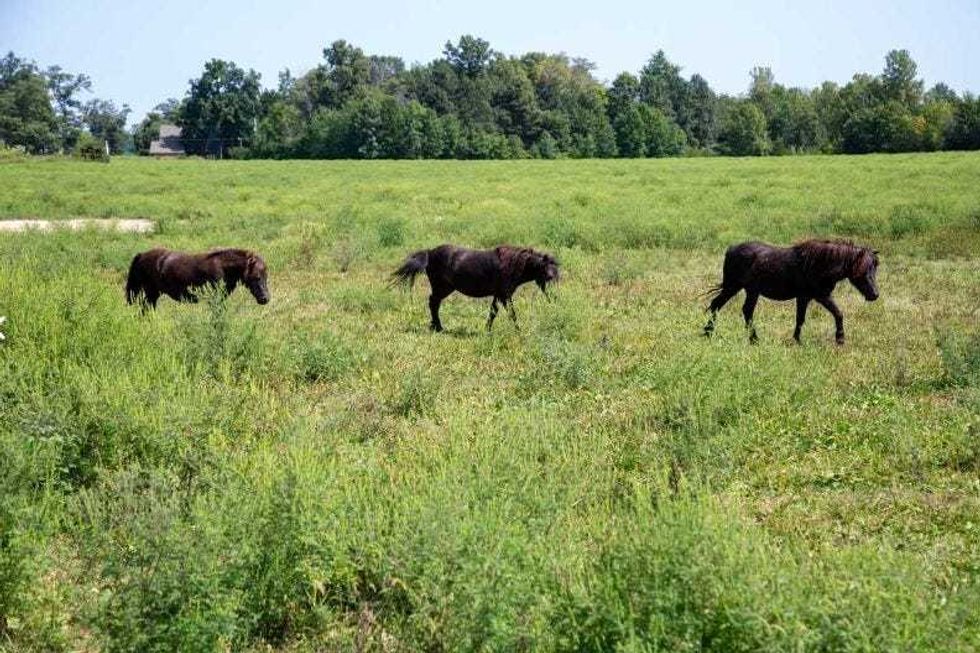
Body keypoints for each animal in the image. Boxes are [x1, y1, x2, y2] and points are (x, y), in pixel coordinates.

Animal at [125, 248, 270, 309]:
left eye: (266, 276)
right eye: (257, 276)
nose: (265, 299)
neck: (223, 267)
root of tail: (142, 255)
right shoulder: (215, 300)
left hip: (153, 295)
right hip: (151, 294)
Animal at [391, 244, 559, 332]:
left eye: (555, 268)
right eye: (544, 267)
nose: (552, 279)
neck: (513, 264)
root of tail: (430, 252)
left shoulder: (498, 295)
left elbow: (493, 312)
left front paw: (487, 330)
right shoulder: (505, 295)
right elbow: (512, 313)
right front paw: (519, 331)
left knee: (434, 304)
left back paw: (436, 326)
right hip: (442, 288)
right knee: (433, 303)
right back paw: (438, 327)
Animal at [702, 239, 879, 344]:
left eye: (875, 268)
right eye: (862, 270)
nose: (875, 295)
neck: (818, 263)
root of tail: (731, 249)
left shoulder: (805, 298)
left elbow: (800, 319)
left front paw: (796, 340)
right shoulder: (821, 296)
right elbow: (838, 313)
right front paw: (840, 339)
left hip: (744, 289)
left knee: (724, 306)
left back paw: (710, 333)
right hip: (739, 288)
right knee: (733, 308)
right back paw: (751, 339)